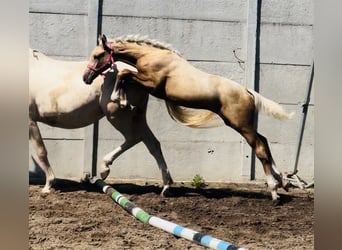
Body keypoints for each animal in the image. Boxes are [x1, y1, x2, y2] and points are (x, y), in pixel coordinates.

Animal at [28, 48, 174, 193]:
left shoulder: (30, 121)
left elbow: (40, 151)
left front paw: (48, 185)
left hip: (118, 115)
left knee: (134, 138)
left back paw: (104, 168)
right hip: (137, 116)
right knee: (152, 143)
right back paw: (166, 186)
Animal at [82, 34, 294, 201]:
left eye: (97, 55)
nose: (86, 78)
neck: (151, 56)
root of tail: (248, 92)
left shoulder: (152, 83)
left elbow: (124, 74)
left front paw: (120, 100)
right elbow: (125, 76)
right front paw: (124, 101)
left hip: (241, 126)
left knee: (260, 148)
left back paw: (274, 192)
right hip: (244, 125)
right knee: (264, 142)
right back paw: (282, 182)